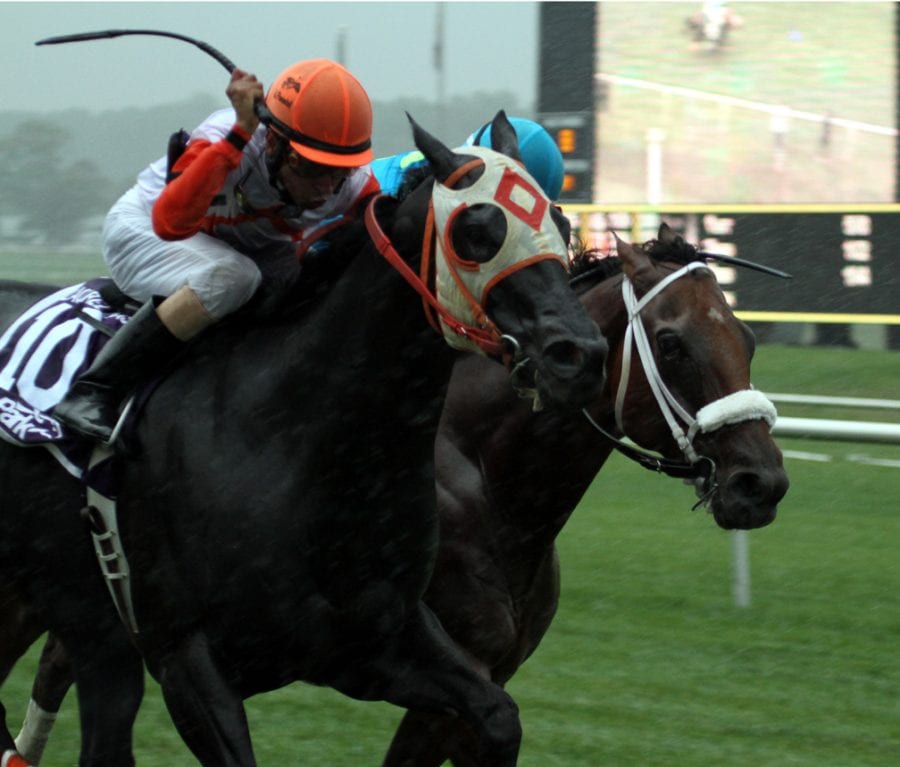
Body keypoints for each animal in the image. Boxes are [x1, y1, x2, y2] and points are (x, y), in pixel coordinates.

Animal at [1, 111, 604, 764]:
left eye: (561, 222)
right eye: (477, 231)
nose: (580, 355)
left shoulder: (377, 643)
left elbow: (498, 717)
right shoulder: (185, 658)